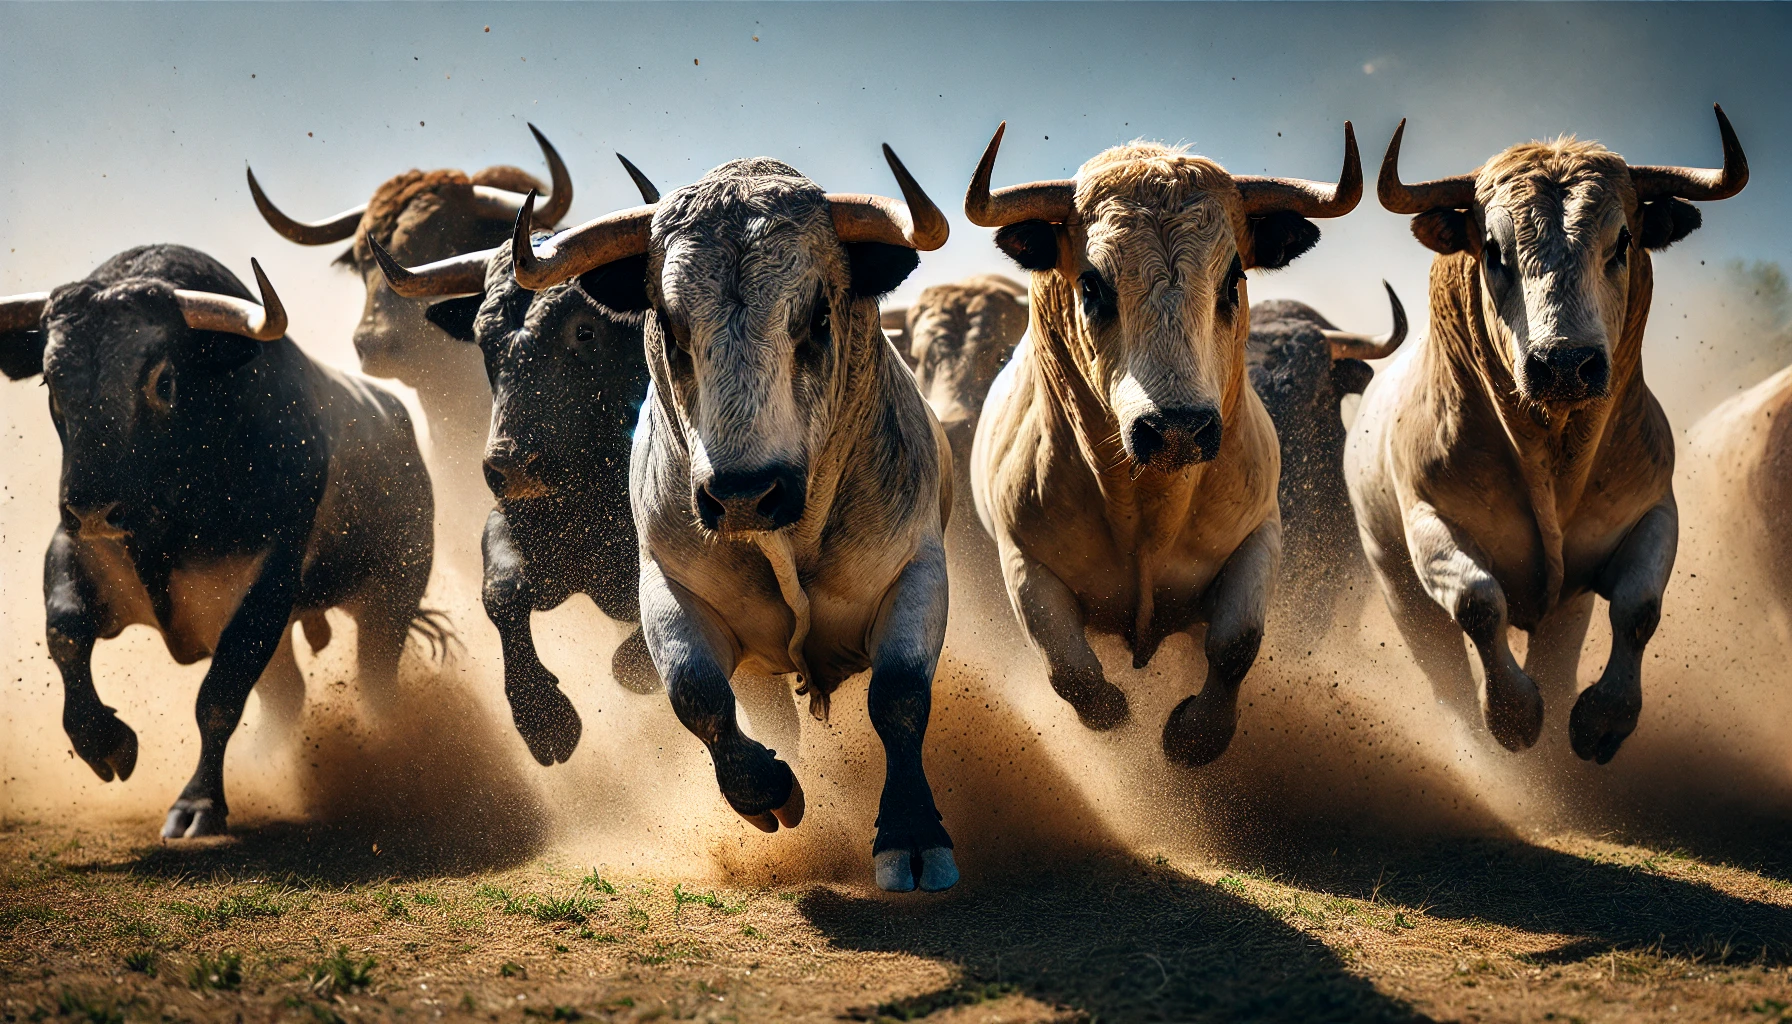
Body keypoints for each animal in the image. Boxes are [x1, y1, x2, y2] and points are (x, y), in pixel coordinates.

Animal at [0, 245, 437, 837]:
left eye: (163, 382)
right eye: (51, 383)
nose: (92, 507)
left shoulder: (266, 584)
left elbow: (220, 696)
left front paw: (198, 803)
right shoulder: (76, 548)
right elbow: (65, 632)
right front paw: (105, 742)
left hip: (391, 596)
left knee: (374, 683)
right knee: (287, 697)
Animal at [362, 157, 664, 767]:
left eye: (585, 329)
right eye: (484, 340)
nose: (510, 467)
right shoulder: (521, 524)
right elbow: (500, 590)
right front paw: (543, 720)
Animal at [505, 145, 960, 892]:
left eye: (818, 317)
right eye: (670, 326)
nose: (745, 494)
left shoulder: (916, 571)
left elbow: (899, 699)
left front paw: (911, 835)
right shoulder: (669, 584)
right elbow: (696, 693)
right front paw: (765, 789)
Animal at [966, 121, 1363, 768]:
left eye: (1233, 279)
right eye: (1092, 283)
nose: (1177, 429)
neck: (1147, 509)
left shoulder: (1259, 536)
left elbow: (1236, 644)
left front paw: (1192, 734)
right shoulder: (1023, 560)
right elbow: (1073, 673)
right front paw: (1120, 714)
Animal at [1345, 106, 1747, 762]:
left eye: (1623, 242)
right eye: (1492, 249)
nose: (1564, 363)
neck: (1553, 453)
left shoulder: (1654, 512)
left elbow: (1638, 609)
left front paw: (1604, 720)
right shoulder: (1430, 522)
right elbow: (1479, 602)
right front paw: (1513, 715)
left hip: (1567, 609)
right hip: (1394, 581)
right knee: (1444, 670)